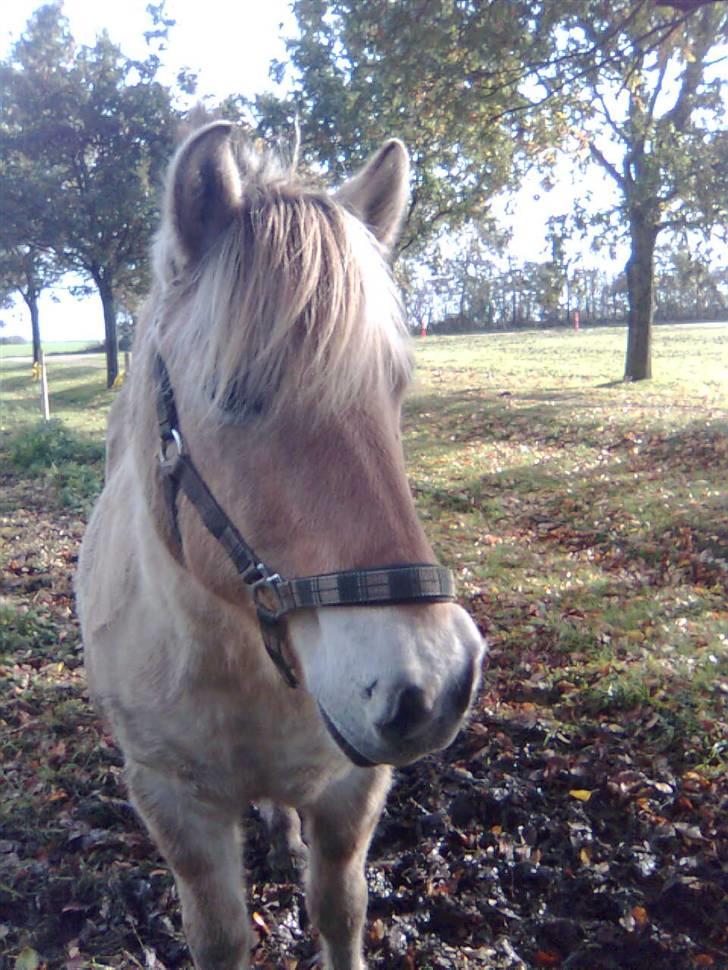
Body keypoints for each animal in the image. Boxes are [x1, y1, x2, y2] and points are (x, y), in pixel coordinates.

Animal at [75, 123, 484, 968]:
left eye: (396, 390)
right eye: (233, 394)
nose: (433, 682)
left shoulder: (351, 789)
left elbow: (339, 909)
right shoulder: (172, 802)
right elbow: (221, 936)